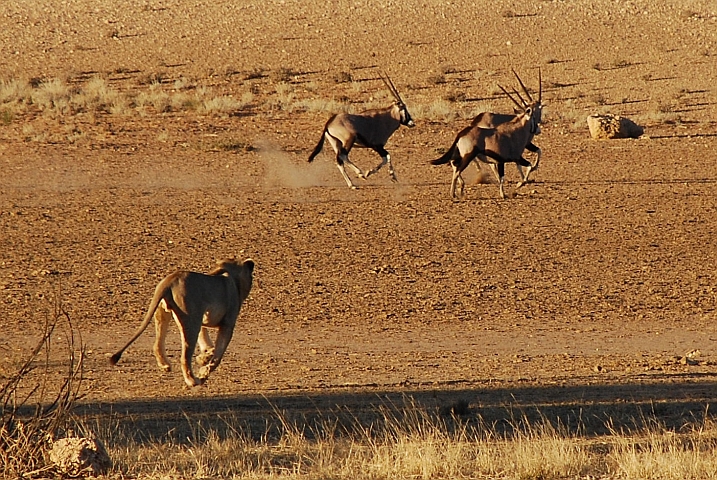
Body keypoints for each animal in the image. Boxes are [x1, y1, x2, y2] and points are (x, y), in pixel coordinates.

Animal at [109, 258, 254, 387]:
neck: (232, 275)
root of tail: (170, 280)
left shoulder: (201, 316)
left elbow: (207, 342)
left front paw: (204, 356)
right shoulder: (227, 323)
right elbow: (218, 355)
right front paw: (203, 371)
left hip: (163, 313)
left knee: (157, 344)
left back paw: (165, 365)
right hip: (190, 319)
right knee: (184, 357)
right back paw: (192, 381)